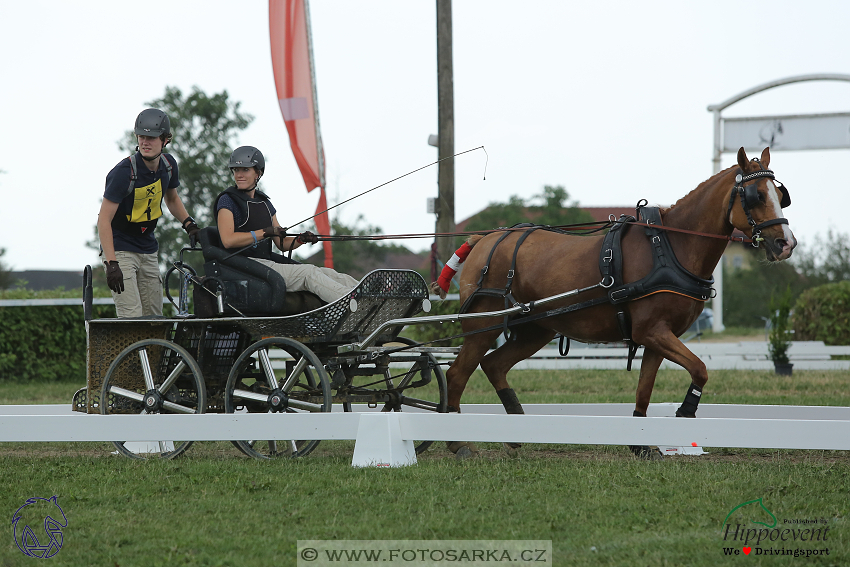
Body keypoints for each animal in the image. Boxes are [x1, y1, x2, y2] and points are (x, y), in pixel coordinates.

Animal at [444, 146, 796, 458]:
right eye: (756, 196)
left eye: (781, 196)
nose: (786, 243)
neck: (670, 247)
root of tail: (484, 239)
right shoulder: (651, 331)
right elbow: (700, 369)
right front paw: (684, 413)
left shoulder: (658, 337)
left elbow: (645, 389)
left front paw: (641, 444)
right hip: (485, 323)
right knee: (457, 374)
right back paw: (458, 442)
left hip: (535, 330)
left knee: (494, 365)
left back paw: (515, 434)